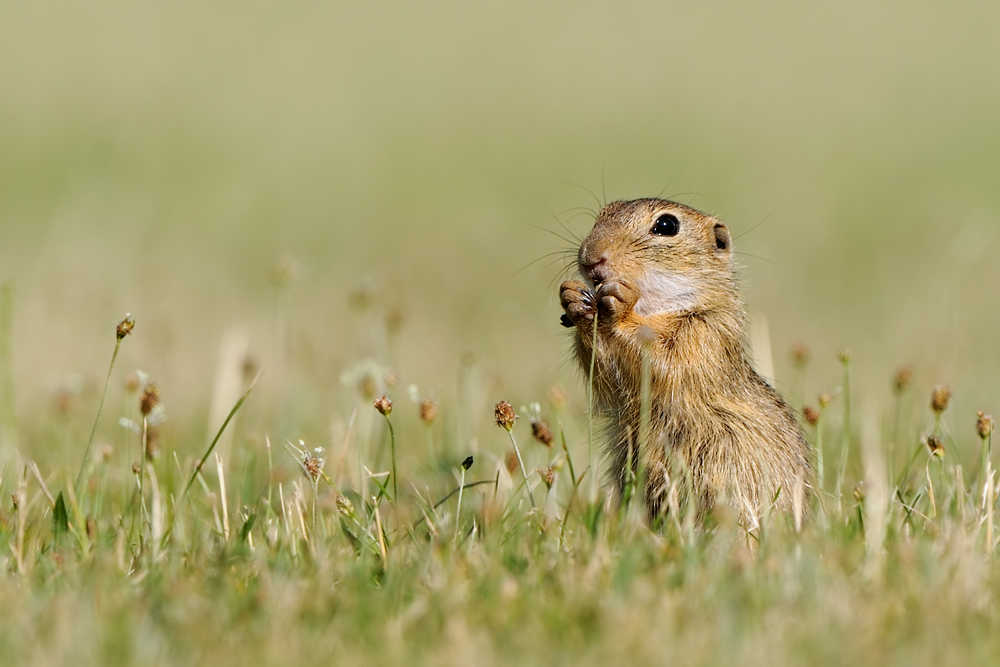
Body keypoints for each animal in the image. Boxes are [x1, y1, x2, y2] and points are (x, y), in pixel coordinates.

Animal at [564, 198, 812, 528]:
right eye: (601, 215)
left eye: (667, 225)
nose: (590, 257)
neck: (659, 309)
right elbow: (605, 376)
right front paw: (574, 300)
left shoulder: (703, 335)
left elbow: (664, 362)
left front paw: (619, 304)